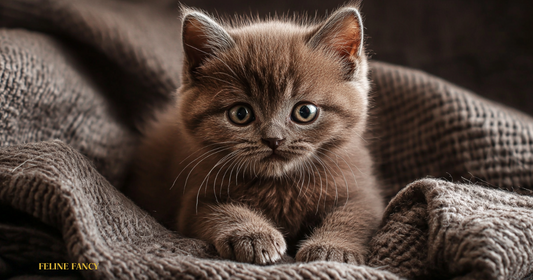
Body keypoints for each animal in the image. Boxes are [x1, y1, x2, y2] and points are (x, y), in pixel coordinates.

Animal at [124, 5, 382, 266]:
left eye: (305, 112)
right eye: (240, 114)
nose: (273, 140)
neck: (280, 186)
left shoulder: (363, 190)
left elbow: (353, 215)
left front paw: (332, 248)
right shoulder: (194, 200)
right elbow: (220, 211)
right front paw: (252, 234)